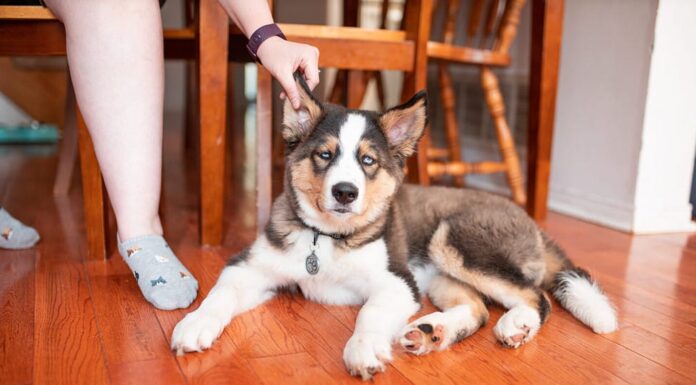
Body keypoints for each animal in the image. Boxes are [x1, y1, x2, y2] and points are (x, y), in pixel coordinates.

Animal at [171, 73, 616, 380]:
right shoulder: (250, 266)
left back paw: (515, 324)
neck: (327, 240)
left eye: (368, 160)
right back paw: (432, 330)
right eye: (324, 154)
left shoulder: (397, 281)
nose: (345, 192)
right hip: (437, 274)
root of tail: (531, 224)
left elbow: (368, 313)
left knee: (535, 297)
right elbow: (221, 293)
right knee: (476, 309)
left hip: (454, 241)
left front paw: (363, 349)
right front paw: (195, 324)